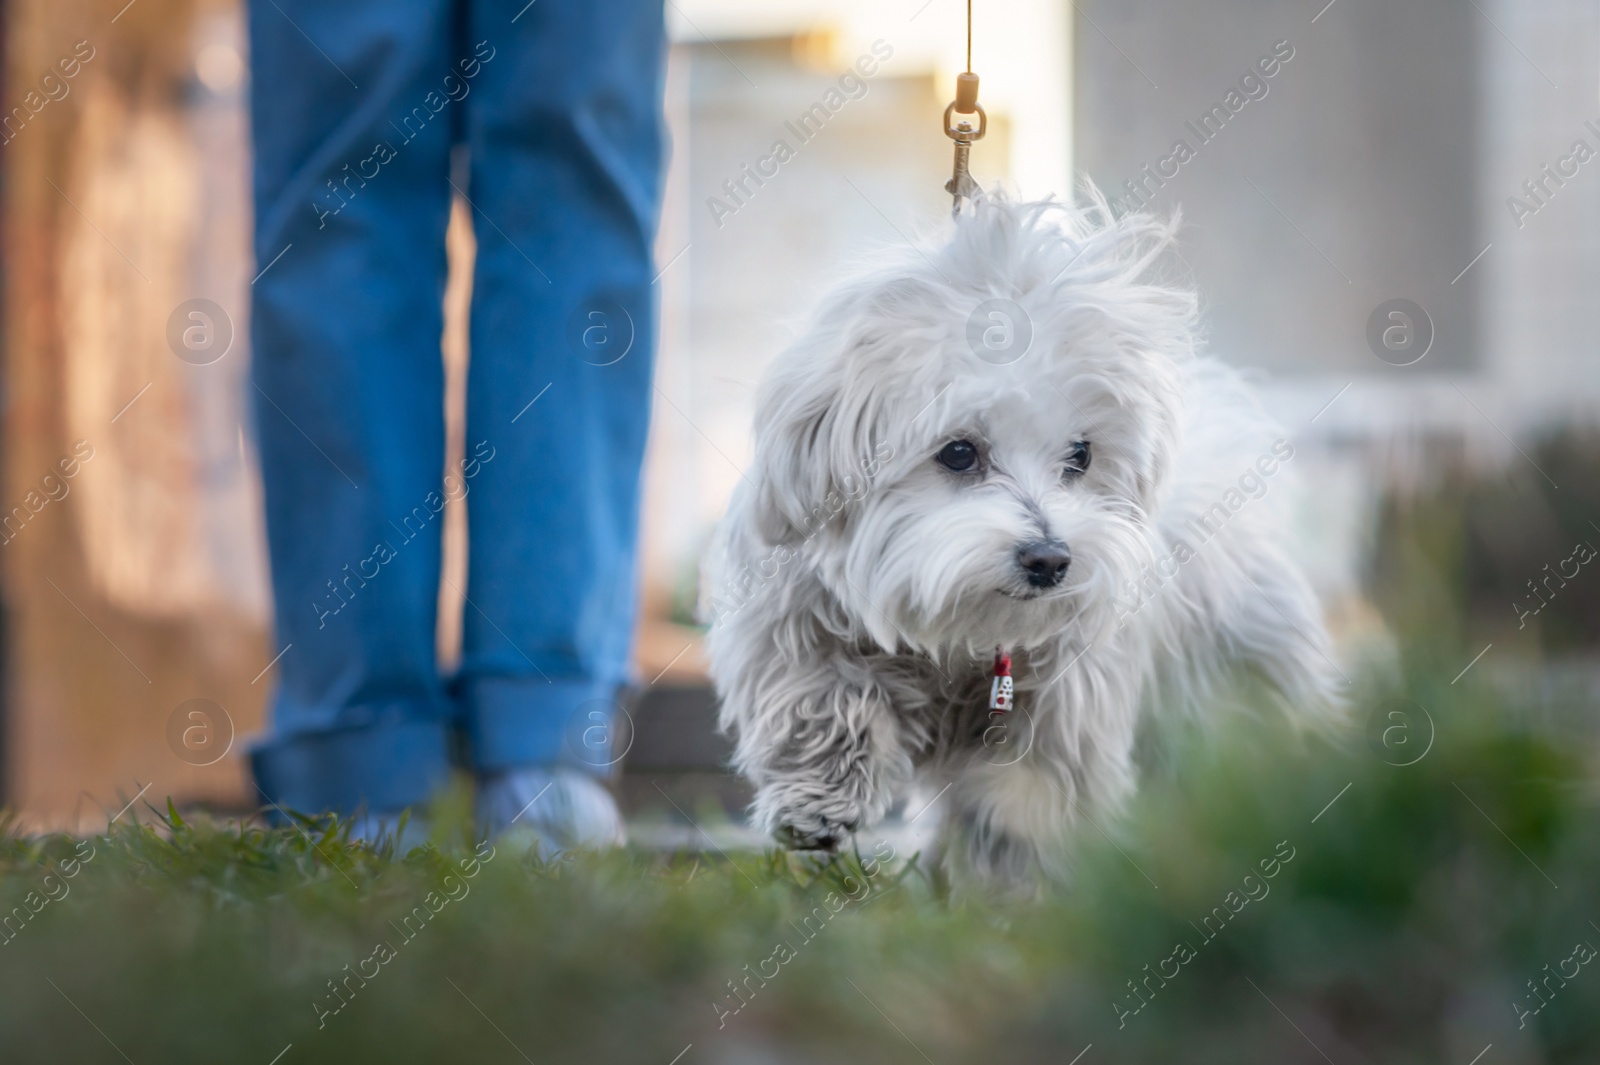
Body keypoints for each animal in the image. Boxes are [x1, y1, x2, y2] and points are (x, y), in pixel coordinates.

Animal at [707, 192, 1344, 889]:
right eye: (959, 452)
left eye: (1081, 455)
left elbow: (1029, 797)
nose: (1050, 559)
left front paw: (1011, 887)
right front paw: (820, 800)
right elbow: (818, 694)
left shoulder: (1067, 700)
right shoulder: (796, 617)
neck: (958, 637)